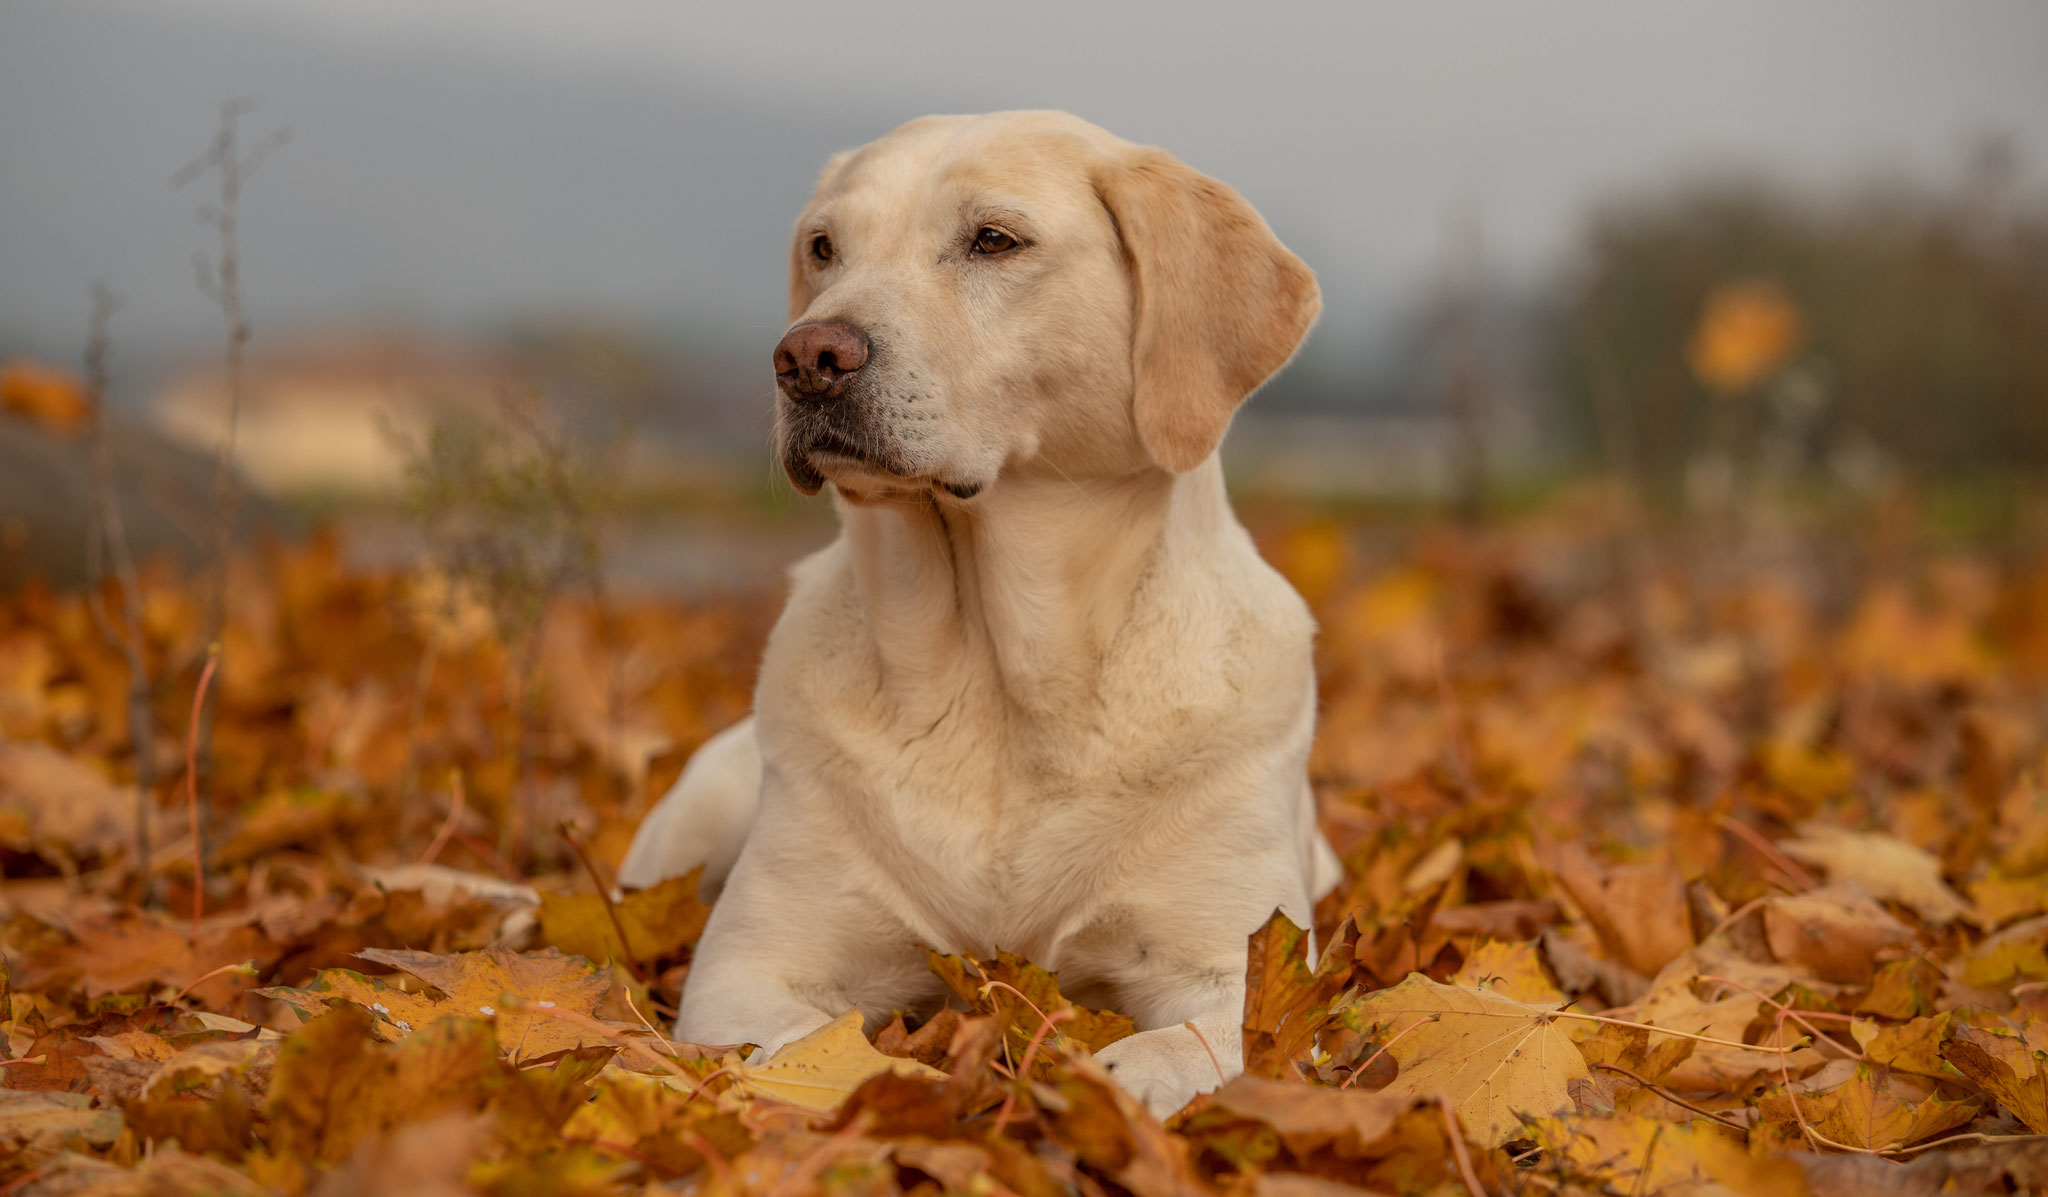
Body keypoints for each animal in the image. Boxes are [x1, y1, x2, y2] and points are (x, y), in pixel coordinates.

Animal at [614, 107, 1335, 1115]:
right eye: (824, 247)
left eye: (994, 240)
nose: (807, 356)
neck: (998, 679)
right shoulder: (750, 968)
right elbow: (800, 1051)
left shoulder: (1233, 967)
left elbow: (1192, 1048)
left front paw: (1109, 1082)